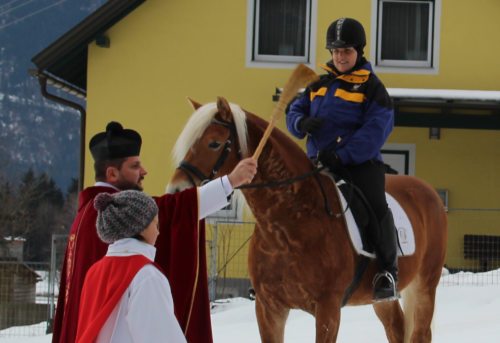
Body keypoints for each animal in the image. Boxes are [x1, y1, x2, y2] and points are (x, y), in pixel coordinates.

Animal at [166, 95, 448, 342]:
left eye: (214, 143)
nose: (177, 191)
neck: (289, 223)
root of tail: (429, 192)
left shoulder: (328, 309)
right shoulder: (269, 308)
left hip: (424, 286)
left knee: (420, 333)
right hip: (380, 299)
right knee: (396, 328)